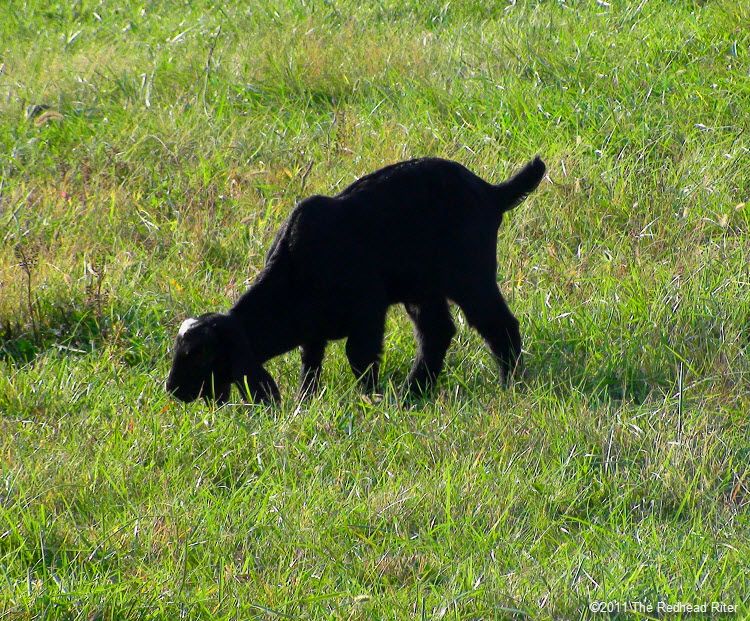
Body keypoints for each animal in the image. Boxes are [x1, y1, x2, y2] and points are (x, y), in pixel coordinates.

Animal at [166, 157, 548, 404]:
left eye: (199, 355)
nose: (173, 391)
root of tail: (489, 191)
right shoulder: (314, 327)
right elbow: (311, 361)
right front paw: (306, 401)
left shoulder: (368, 310)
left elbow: (359, 356)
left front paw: (369, 399)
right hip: (423, 289)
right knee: (437, 332)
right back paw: (413, 392)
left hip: (471, 275)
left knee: (498, 324)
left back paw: (509, 383)